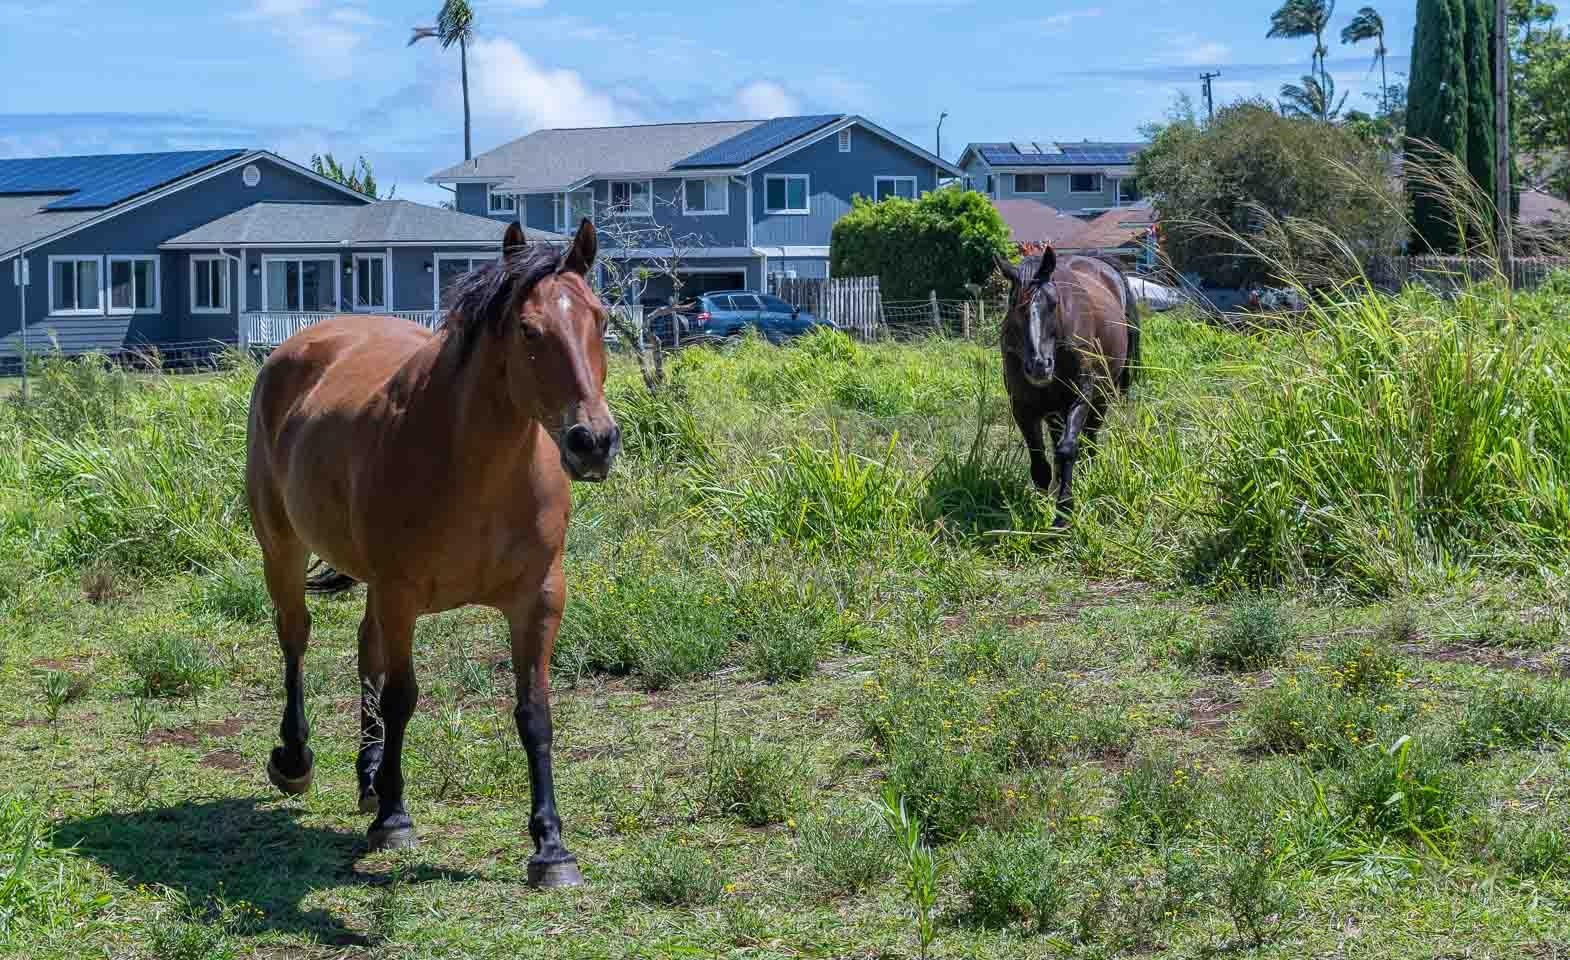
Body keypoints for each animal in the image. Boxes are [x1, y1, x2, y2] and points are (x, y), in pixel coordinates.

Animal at [246, 218, 618, 886]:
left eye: (599, 319)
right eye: (529, 330)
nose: (593, 442)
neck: (477, 469)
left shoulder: (539, 598)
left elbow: (534, 713)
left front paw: (551, 847)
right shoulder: (402, 594)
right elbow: (402, 698)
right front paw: (394, 819)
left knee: (364, 652)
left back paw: (369, 775)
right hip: (282, 549)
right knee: (296, 638)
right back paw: (297, 760)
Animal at [992, 243, 1142, 521]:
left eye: (1053, 303)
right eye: (1015, 306)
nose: (1039, 365)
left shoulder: (1080, 397)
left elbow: (1068, 449)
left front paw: (1063, 512)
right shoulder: (1022, 407)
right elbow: (1040, 462)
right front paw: (1042, 505)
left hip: (1102, 395)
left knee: (1090, 437)